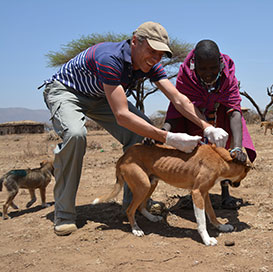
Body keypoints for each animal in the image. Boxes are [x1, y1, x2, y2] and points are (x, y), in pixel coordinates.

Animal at [93, 144, 251, 246]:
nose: (237, 185)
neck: (221, 159)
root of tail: (124, 155)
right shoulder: (197, 193)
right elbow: (201, 221)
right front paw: (207, 239)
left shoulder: (204, 193)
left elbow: (211, 214)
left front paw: (221, 227)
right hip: (143, 185)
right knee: (130, 210)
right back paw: (136, 229)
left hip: (151, 183)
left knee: (141, 206)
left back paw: (152, 217)